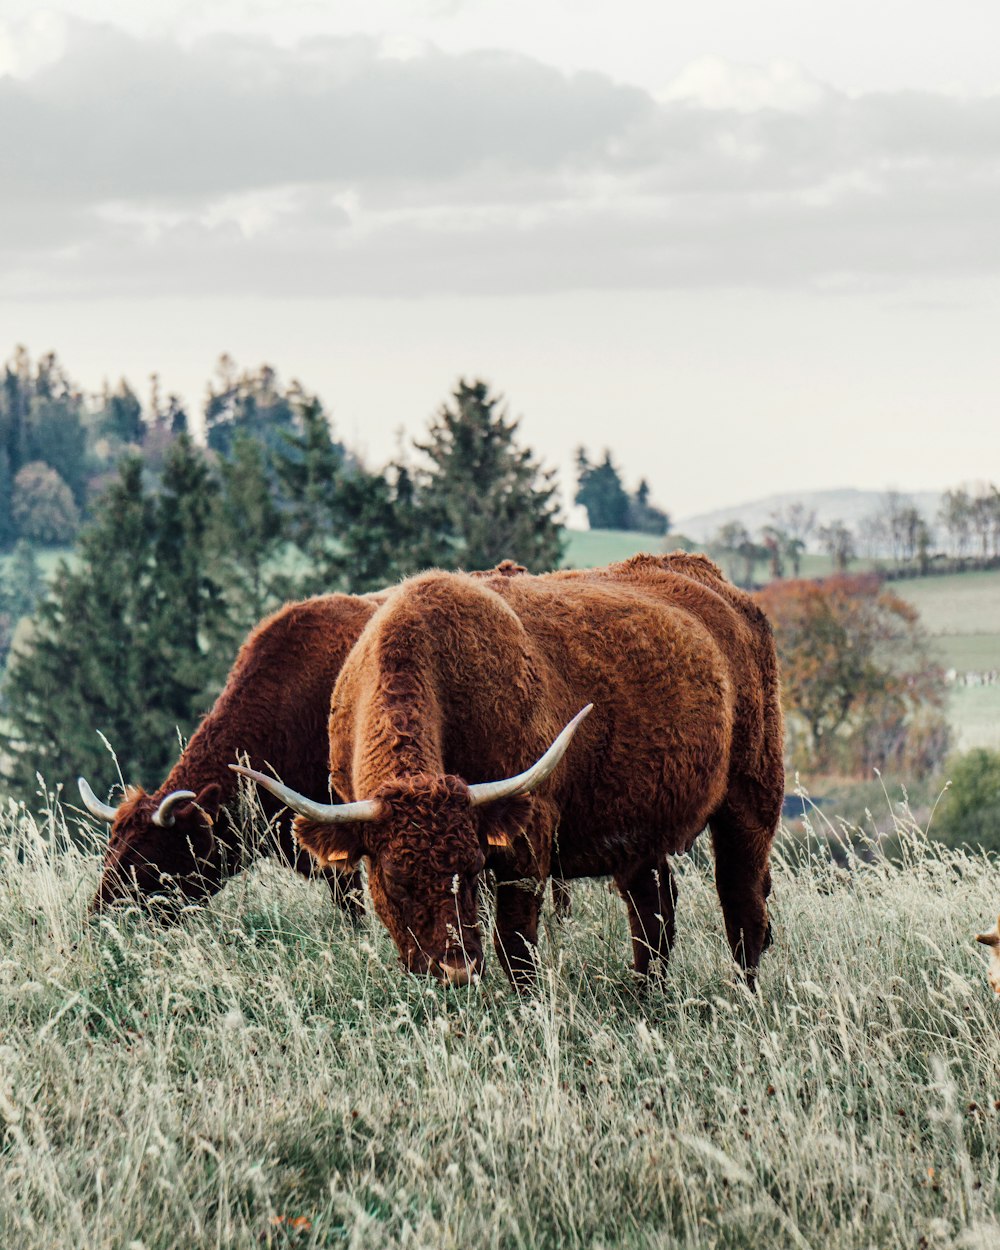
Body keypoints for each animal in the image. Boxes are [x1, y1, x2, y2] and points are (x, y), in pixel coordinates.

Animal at [238, 555, 785, 985]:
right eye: (394, 876)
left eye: (471, 865)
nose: (456, 968)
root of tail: (717, 585)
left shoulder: (526, 843)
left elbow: (515, 945)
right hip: (643, 832)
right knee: (653, 915)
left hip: (751, 800)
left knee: (742, 908)